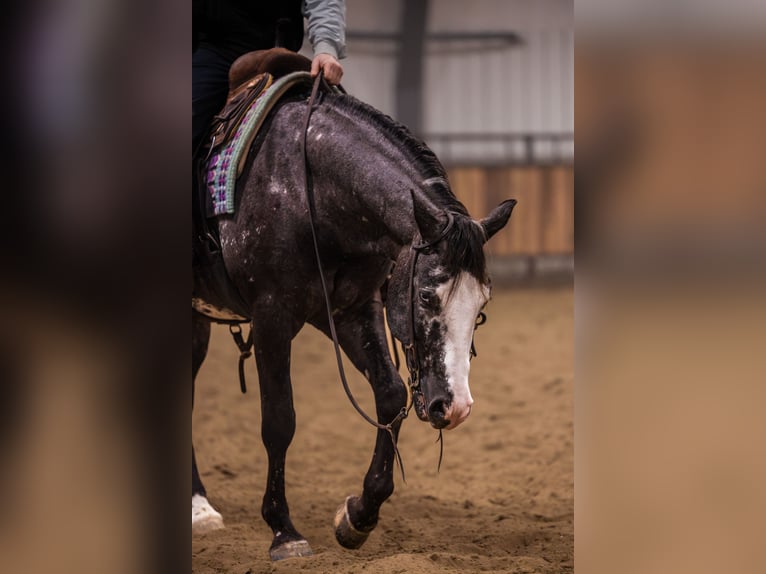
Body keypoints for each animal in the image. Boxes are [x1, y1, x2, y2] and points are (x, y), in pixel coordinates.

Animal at [192, 71, 516, 561]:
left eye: (481, 309)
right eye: (425, 296)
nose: (455, 407)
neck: (306, 187)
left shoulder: (353, 310)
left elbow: (390, 396)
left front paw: (358, 515)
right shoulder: (272, 317)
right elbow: (279, 420)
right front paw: (284, 530)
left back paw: (199, 505)